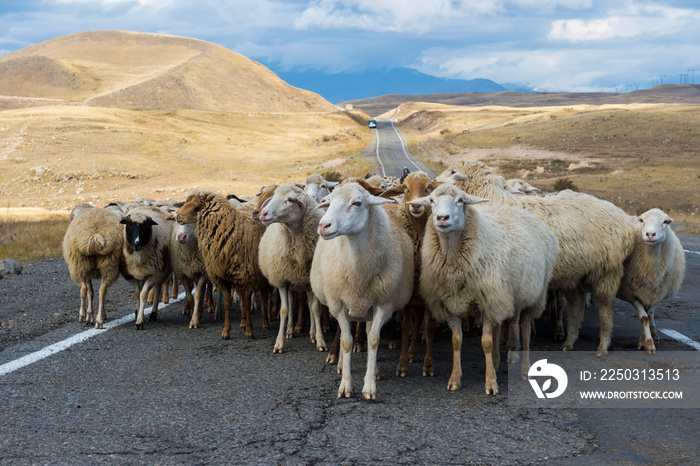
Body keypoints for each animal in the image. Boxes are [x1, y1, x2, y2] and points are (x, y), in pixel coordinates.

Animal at [258, 184, 326, 352]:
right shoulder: (282, 281)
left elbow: (315, 309)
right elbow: (284, 310)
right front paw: (279, 343)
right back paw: (289, 330)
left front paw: (320, 341)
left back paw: (312, 333)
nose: (263, 213)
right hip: (291, 282)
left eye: (290, 199)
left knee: (309, 304)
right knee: (290, 302)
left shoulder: (312, 281)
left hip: (305, 282)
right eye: (274, 195)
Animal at [308, 182, 412, 400]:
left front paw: (369, 385)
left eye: (357, 203)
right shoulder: (338, 306)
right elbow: (346, 342)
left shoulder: (383, 305)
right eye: (329, 201)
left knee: (368, 329)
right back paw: (340, 363)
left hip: (370, 307)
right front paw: (345, 385)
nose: (323, 225)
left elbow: (373, 340)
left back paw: (374, 370)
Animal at [410, 183, 556, 394]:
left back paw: (525, 368)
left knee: (526, 328)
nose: (442, 218)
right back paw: (495, 361)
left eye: (461, 201)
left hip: (535, 295)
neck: (453, 259)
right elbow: (456, 341)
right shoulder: (452, 303)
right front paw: (455, 379)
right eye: (431, 200)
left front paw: (491, 383)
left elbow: (486, 342)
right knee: (501, 325)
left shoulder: (488, 301)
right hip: (506, 295)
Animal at [440, 162, 636, 354]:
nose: (434, 182)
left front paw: (509, 341)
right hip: (577, 274)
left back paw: (602, 346)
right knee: (577, 305)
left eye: (453, 172)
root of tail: (625, 219)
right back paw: (569, 341)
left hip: (607, 271)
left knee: (605, 309)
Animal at [616, 208, 684, 354]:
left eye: (666, 222)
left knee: (652, 314)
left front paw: (645, 341)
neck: (652, 270)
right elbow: (644, 318)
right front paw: (648, 343)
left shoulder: (659, 293)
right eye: (642, 220)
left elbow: (649, 314)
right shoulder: (632, 295)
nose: (650, 234)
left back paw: (655, 335)